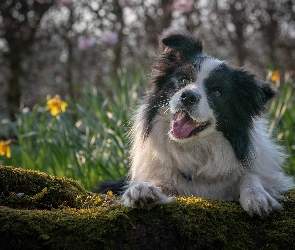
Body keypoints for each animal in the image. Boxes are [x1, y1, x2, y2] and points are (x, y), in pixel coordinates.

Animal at [106, 30, 294, 215]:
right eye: (183, 80)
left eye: (217, 93)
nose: (188, 96)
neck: (195, 150)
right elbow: (156, 183)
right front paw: (142, 190)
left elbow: (250, 177)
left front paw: (257, 198)